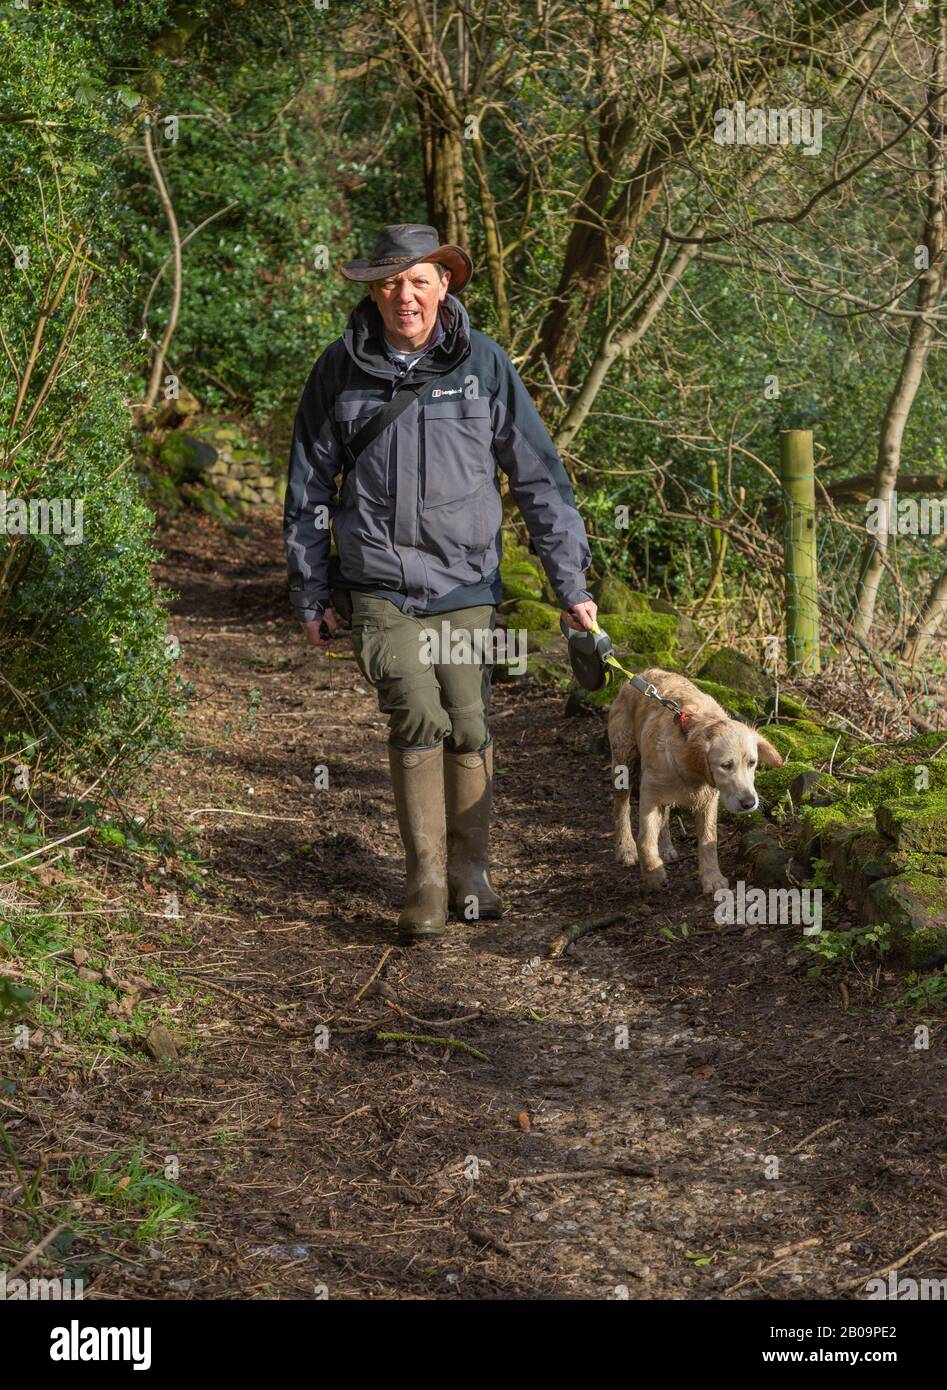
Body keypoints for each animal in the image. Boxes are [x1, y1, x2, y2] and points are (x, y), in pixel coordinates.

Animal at [606, 669, 784, 889]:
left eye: (752, 763)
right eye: (726, 765)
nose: (749, 803)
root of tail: (641, 674)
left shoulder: (707, 801)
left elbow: (709, 839)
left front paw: (712, 877)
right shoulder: (650, 794)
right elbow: (645, 839)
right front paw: (653, 873)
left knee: (664, 816)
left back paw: (665, 847)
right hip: (624, 760)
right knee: (621, 806)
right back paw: (626, 848)